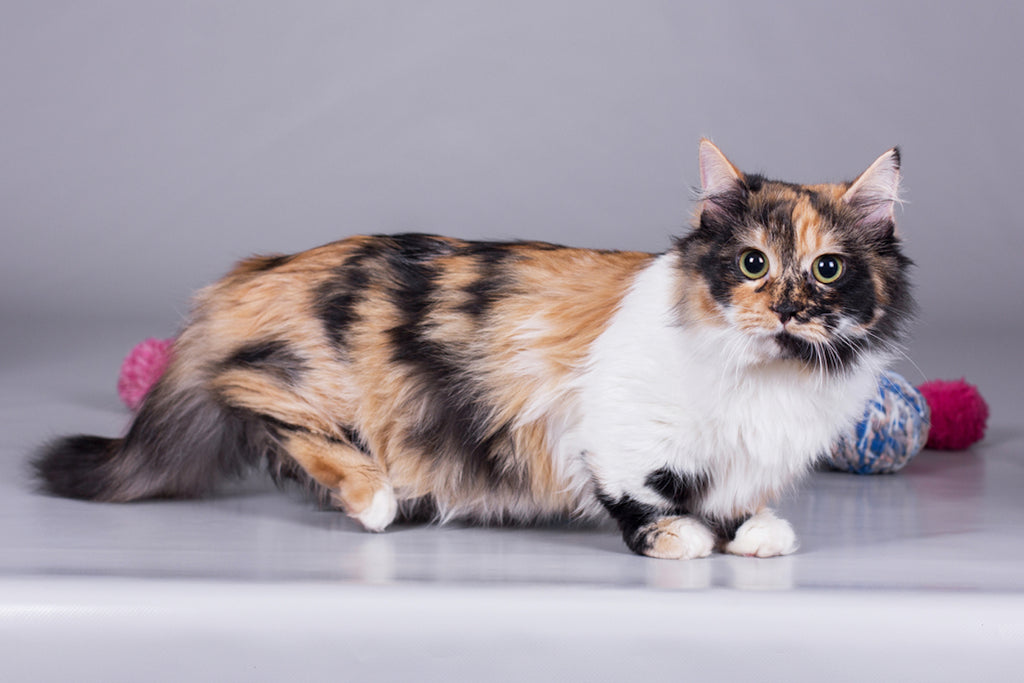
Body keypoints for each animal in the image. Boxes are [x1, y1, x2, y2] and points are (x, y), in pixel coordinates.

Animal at [34, 140, 913, 561]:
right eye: (752, 264)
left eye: (827, 269)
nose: (789, 307)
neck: (773, 379)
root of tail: (255, 272)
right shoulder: (614, 427)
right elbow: (643, 493)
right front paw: (678, 538)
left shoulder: (746, 452)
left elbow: (735, 495)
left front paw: (752, 530)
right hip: (306, 374)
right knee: (251, 397)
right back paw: (373, 495)